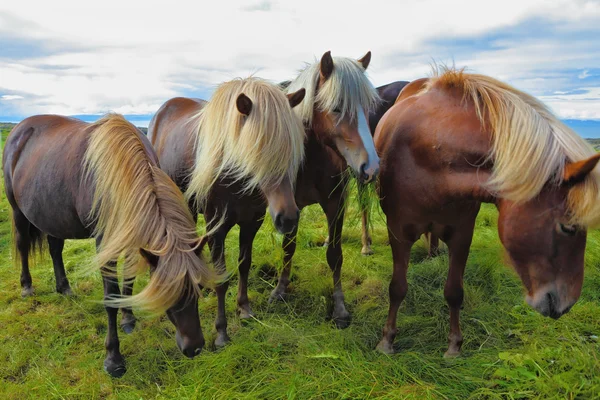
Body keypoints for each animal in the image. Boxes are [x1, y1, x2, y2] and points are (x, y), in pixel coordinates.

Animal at [2, 114, 218, 376]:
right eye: (168, 292)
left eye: (199, 287)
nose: (194, 348)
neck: (120, 172)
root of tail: (19, 130)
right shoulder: (105, 243)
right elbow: (111, 296)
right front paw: (113, 358)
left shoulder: (131, 237)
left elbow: (129, 281)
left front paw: (128, 319)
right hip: (18, 212)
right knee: (23, 246)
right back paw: (27, 286)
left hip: (53, 217)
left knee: (55, 249)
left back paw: (64, 287)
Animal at [148, 77, 308, 346]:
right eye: (257, 150)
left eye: (292, 150)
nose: (287, 219)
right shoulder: (217, 228)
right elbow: (222, 279)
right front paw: (221, 332)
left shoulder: (251, 223)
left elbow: (244, 264)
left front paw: (244, 308)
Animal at [270, 50, 382, 328]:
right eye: (337, 108)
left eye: (367, 108)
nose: (372, 166)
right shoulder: (291, 208)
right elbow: (288, 248)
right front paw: (280, 289)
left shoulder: (336, 203)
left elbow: (335, 255)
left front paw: (339, 307)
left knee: (363, 210)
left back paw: (366, 245)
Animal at [376, 68, 600, 356]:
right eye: (568, 227)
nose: (567, 305)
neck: (430, 154)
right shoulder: (398, 231)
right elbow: (397, 288)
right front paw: (387, 340)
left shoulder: (462, 234)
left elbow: (454, 291)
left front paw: (454, 345)